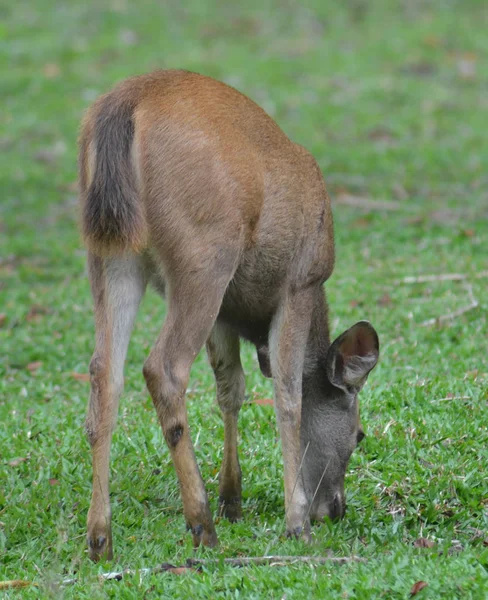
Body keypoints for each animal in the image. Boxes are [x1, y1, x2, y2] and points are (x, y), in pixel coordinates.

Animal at [78, 70, 380, 564]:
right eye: (358, 436)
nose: (335, 509)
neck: (250, 319)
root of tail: (124, 103)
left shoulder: (227, 312)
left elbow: (231, 390)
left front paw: (233, 499)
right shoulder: (299, 283)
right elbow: (288, 395)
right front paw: (295, 522)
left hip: (109, 251)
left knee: (105, 371)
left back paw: (101, 538)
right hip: (205, 251)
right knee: (163, 367)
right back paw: (201, 525)